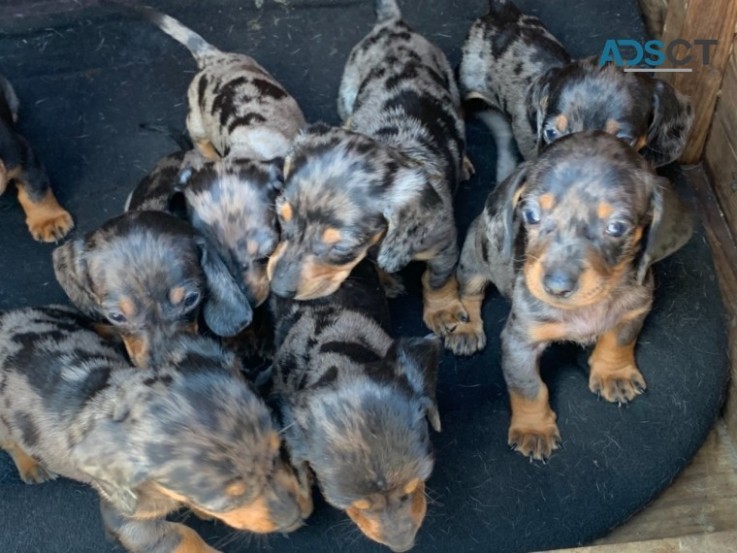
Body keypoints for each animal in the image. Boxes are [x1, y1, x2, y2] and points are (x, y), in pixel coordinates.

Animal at [448, 132, 668, 460]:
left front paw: (613, 373)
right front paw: (533, 429)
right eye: (531, 214)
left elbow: (619, 340)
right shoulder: (519, 343)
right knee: (469, 294)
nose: (556, 286)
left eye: (617, 227)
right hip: (474, 260)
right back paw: (466, 328)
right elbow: (528, 387)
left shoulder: (636, 309)